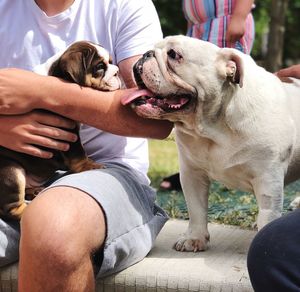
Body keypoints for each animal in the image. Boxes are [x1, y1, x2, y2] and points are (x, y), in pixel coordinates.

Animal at [0, 40, 120, 219]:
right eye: (99, 66)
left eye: (111, 62)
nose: (117, 72)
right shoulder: (67, 131)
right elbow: (78, 152)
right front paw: (88, 166)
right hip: (11, 171)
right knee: (9, 209)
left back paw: (34, 191)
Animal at [121, 35, 300, 251]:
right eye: (151, 49)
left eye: (174, 54)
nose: (146, 54)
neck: (213, 128)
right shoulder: (192, 174)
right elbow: (196, 209)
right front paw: (194, 238)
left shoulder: (268, 179)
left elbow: (268, 214)